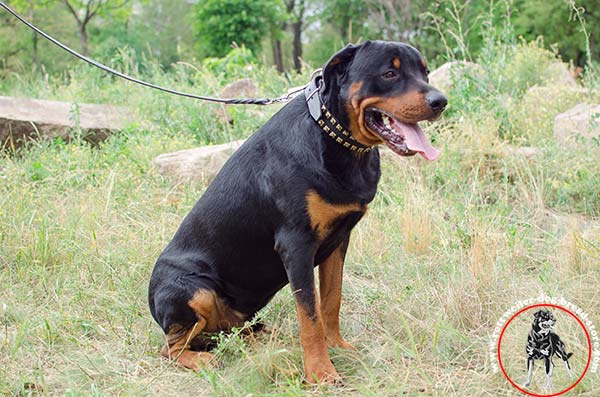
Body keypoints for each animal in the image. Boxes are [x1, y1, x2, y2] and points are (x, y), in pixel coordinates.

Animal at [146, 39, 446, 380]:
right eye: (390, 73)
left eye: (425, 72)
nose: (441, 101)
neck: (337, 142)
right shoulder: (296, 244)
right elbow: (309, 315)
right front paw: (321, 373)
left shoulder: (338, 241)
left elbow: (330, 301)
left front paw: (337, 346)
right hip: (192, 290)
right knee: (170, 348)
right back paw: (204, 359)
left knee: (231, 331)